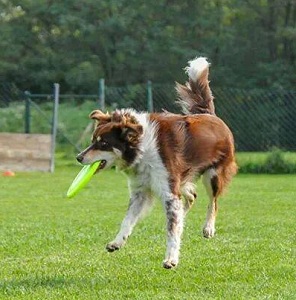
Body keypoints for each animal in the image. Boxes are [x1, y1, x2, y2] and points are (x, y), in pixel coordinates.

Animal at [77, 57, 238, 268]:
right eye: (92, 141)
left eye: (103, 144)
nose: (79, 157)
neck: (142, 149)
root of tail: (210, 115)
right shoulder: (141, 192)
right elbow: (127, 220)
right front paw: (117, 242)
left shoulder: (169, 192)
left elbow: (171, 231)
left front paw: (171, 258)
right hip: (182, 179)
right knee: (191, 196)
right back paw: (183, 216)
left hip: (212, 175)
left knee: (213, 202)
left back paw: (208, 227)